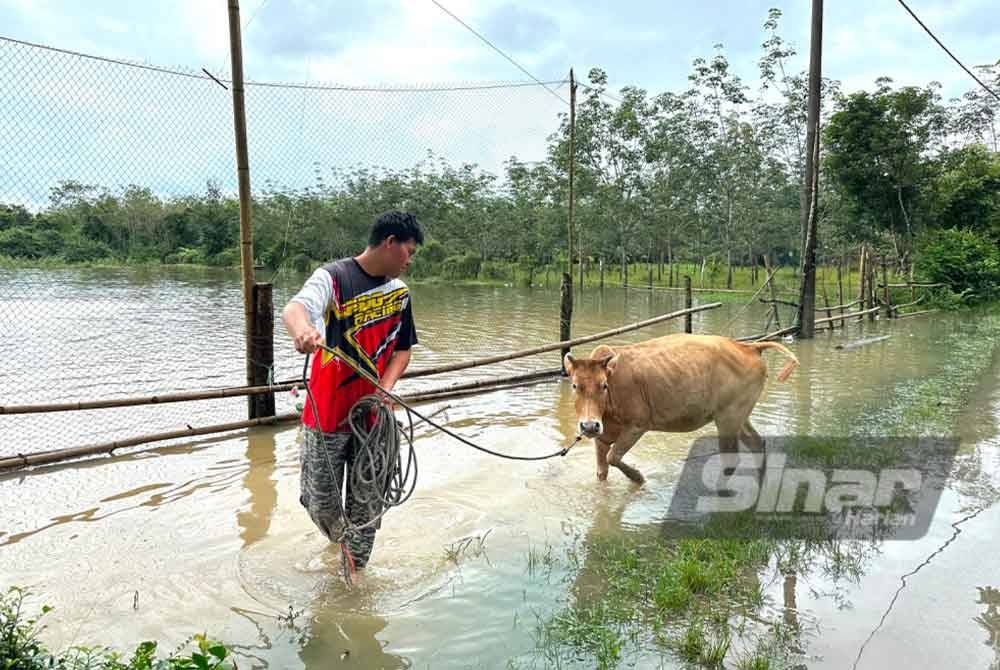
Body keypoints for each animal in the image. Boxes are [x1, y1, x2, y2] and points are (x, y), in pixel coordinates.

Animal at [564, 334, 796, 484]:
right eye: (574, 386)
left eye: (604, 385)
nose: (589, 426)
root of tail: (749, 347)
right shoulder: (602, 437)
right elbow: (602, 472)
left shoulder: (637, 425)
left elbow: (613, 457)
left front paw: (638, 478)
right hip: (739, 415)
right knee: (757, 443)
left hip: (728, 419)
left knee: (731, 458)